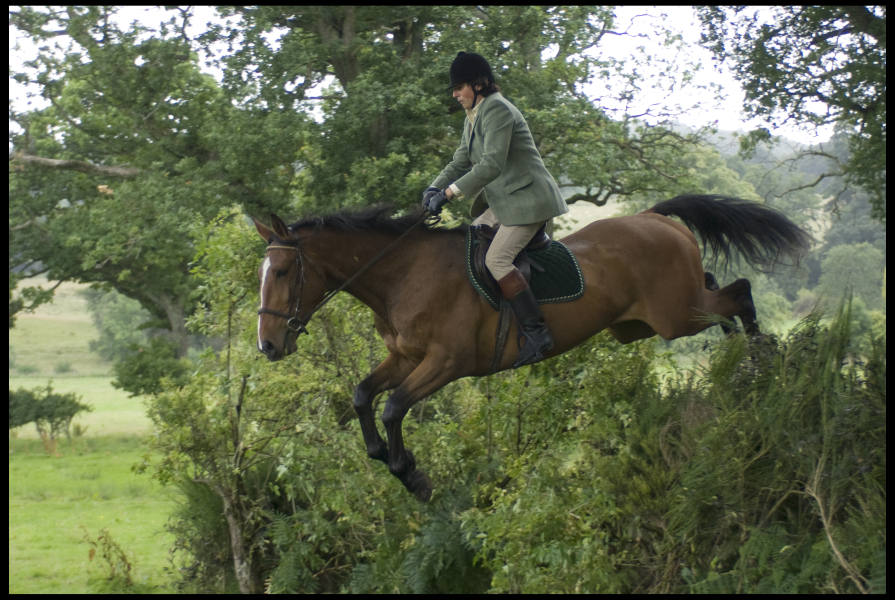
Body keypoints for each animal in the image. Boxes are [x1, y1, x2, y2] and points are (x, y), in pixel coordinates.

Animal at [253, 194, 810, 502]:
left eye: (281, 271)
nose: (267, 346)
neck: (403, 274)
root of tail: (654, 217)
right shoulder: (405, 357)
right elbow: (364, 396)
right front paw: (388, 460)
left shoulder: (446, 362)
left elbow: (392, 407)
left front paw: (411, 475)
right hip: (642, 324)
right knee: (720, 294)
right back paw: (741, 362)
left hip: (676, 316)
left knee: (738, 293)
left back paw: (762, 360)